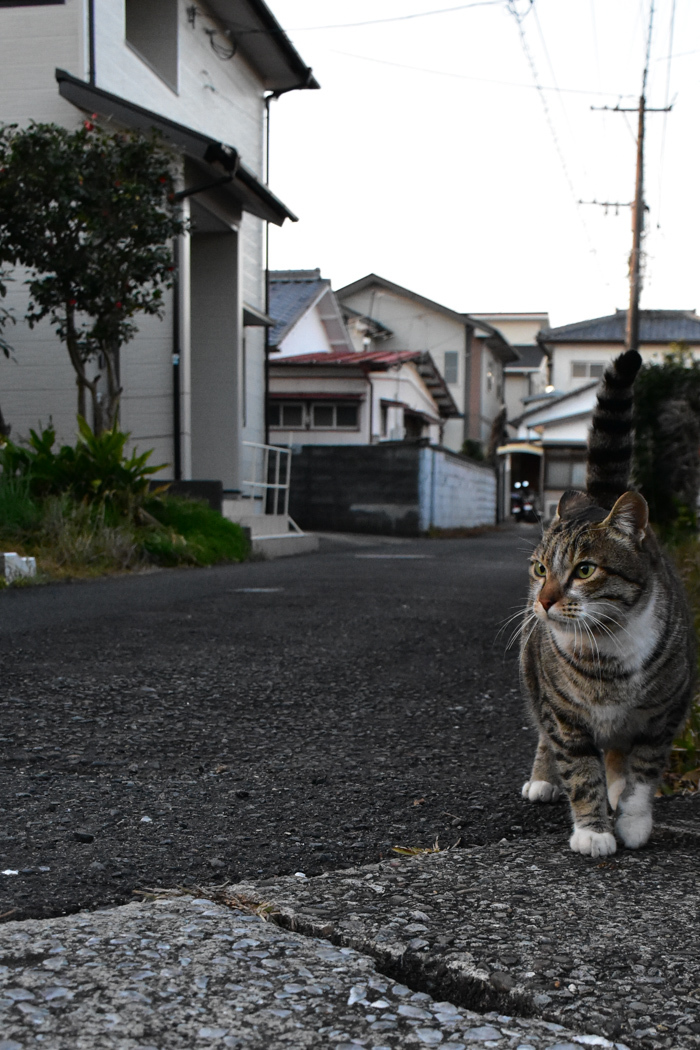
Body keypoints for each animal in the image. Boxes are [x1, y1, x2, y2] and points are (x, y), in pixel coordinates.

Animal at [520, 348, 696, 856]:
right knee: (544, 734)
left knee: (620, 755)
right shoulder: (565, 715)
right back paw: (544, 780)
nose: (544, 601)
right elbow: (581, 770)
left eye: (584, 570)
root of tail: (598, 498)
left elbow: (643, 772)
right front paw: (594, 832)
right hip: (534, 679)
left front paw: (633, 822)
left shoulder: (665, 714)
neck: (608, 645)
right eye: (540, 570)